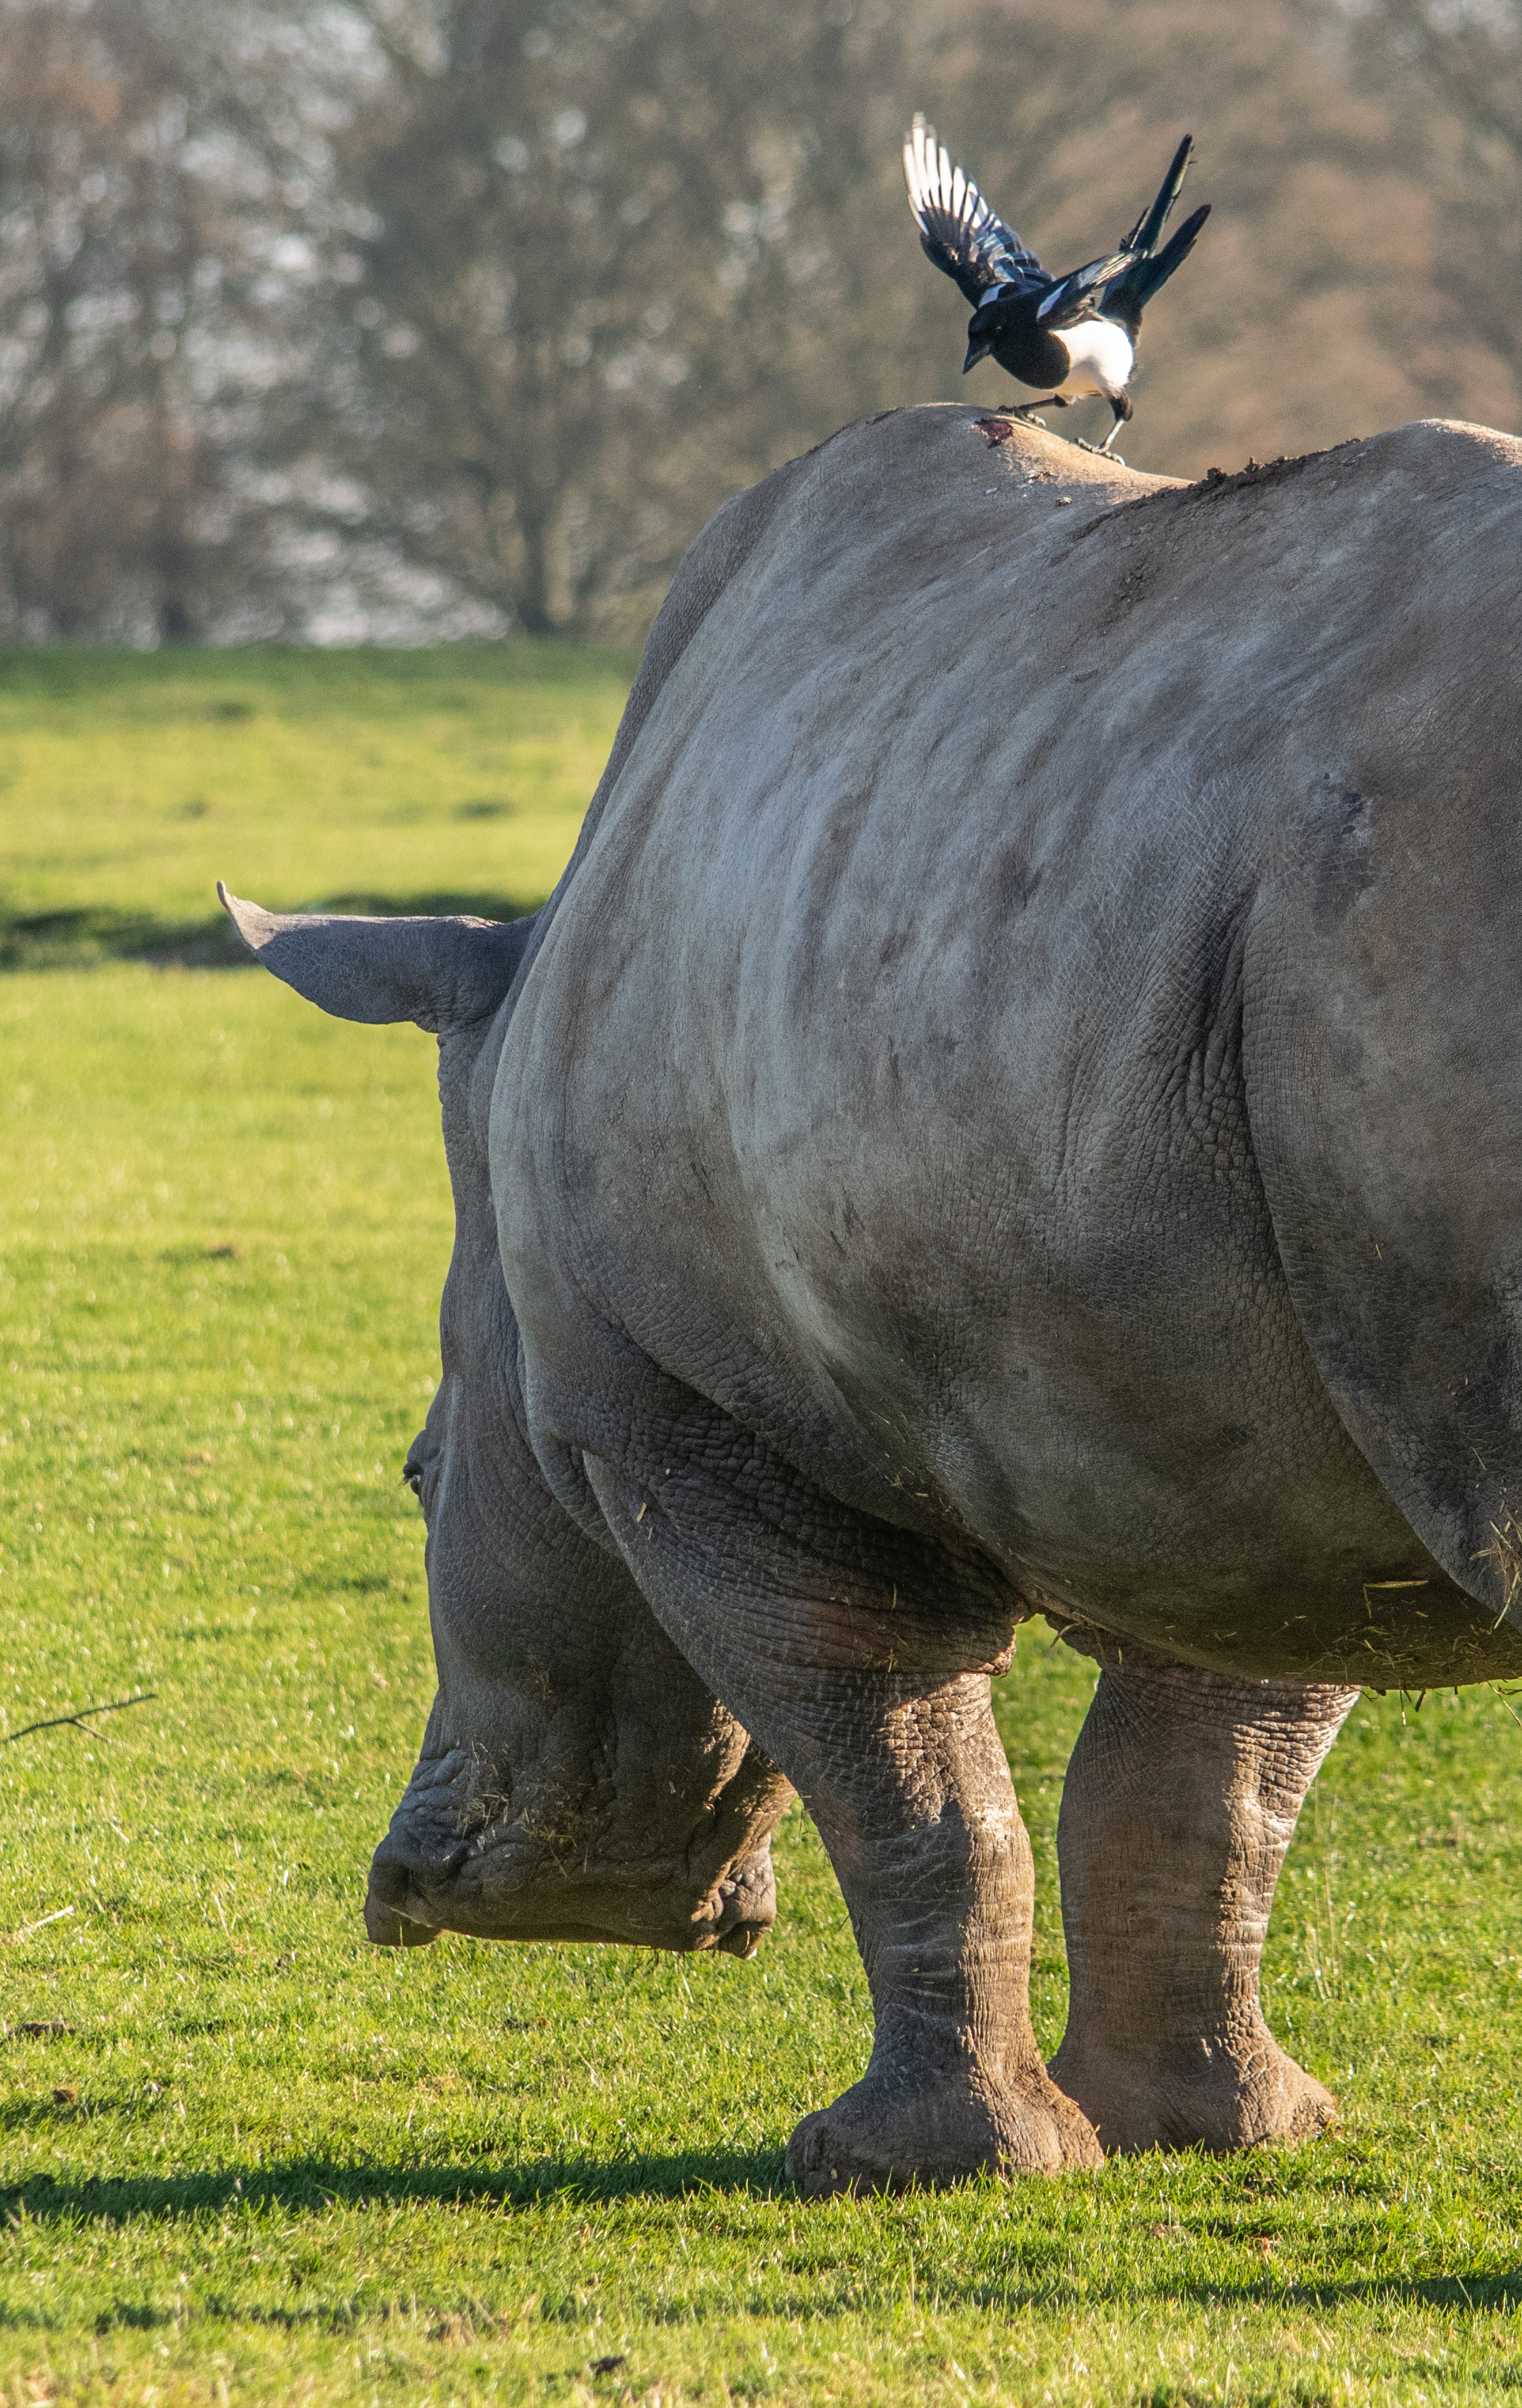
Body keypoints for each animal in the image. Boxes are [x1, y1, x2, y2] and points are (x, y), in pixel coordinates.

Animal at [221, 406, 1522, 2196]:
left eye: (416, 1480)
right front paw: (1203, 2131)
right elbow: (1191, 1785)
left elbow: (910, 1788)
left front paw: (898, 2162)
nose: (439, 1891)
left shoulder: (683, 1420)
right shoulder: (1255, 1441)